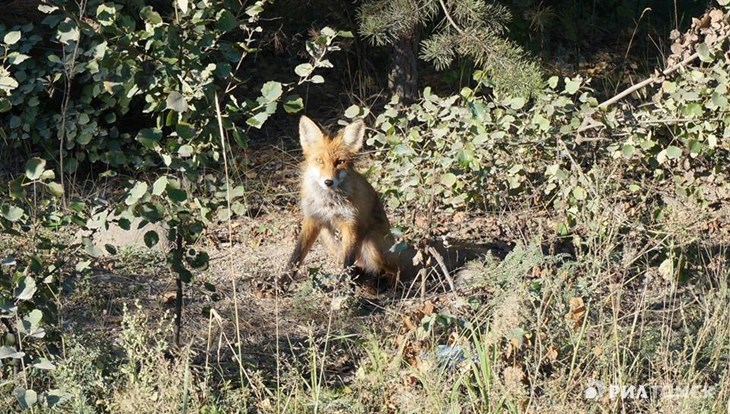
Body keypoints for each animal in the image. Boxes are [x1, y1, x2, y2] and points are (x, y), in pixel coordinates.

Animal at [284, 115, 398, 292]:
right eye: (319, 160)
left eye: (340, 162)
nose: (328, 182)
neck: (329, 203)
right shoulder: (313, 219)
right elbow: (295, 257)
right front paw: (278, 285)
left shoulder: (351, 223)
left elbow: (347, 263)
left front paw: (343, 292)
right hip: (327, 236)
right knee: (360, 268)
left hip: (371, 244)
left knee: (395, 270)